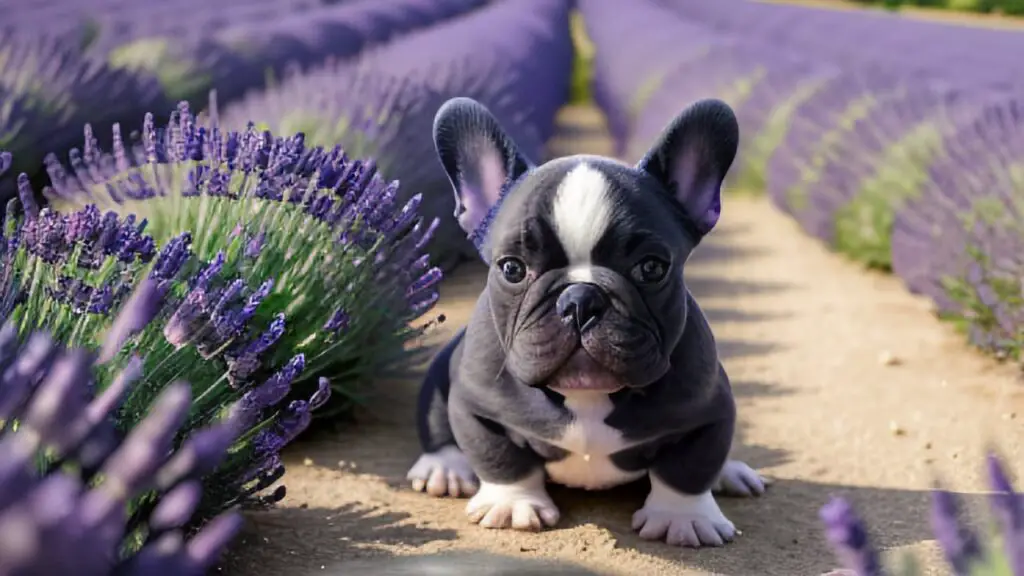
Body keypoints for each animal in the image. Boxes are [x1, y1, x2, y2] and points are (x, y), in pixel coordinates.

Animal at [407, 96, 770, 545]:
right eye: (512, 268)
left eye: (652, 268)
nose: (580, 299)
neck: (588, 395)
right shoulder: (475, 404)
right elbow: (497, 455)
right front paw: (513, 504)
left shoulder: (710, 408)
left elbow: (689, 466)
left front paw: (683, 518)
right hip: (441, 370)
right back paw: (445, 467)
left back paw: (730, 473)